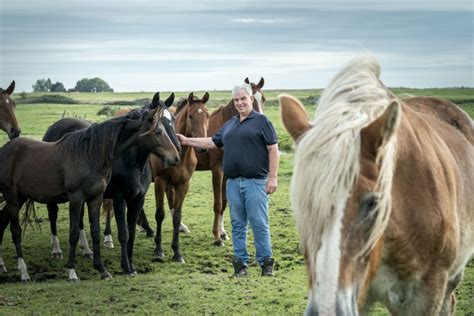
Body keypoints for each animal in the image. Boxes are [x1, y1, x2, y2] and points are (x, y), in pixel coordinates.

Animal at [0, 102, 181, 280]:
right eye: (158, 131)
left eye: (173, 120)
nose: (176, 156)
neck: (89, 154)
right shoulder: (82, 198)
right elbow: (77, 233)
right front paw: (72, 272)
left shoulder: (100, 198)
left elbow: (97, 232)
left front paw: (103, 270)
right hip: (13, 197)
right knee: (17, 230)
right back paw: (26, 270)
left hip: (20, 197)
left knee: (3, 221)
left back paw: (4, 265)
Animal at [153, 90, 210, 262]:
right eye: (190, 116)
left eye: (207, 115)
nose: (203, 149)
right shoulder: (159, 181)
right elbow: (160, 214)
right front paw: (158, 250)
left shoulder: (183, 184)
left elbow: (177, 216)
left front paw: (177, 252)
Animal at [194, 78, 264, 246]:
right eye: (251, 98)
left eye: (263, 98)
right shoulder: (217, 170)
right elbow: (218, 203)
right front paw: (216, 237)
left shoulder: (227, 172)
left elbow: (225, 202)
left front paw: (223, 233)